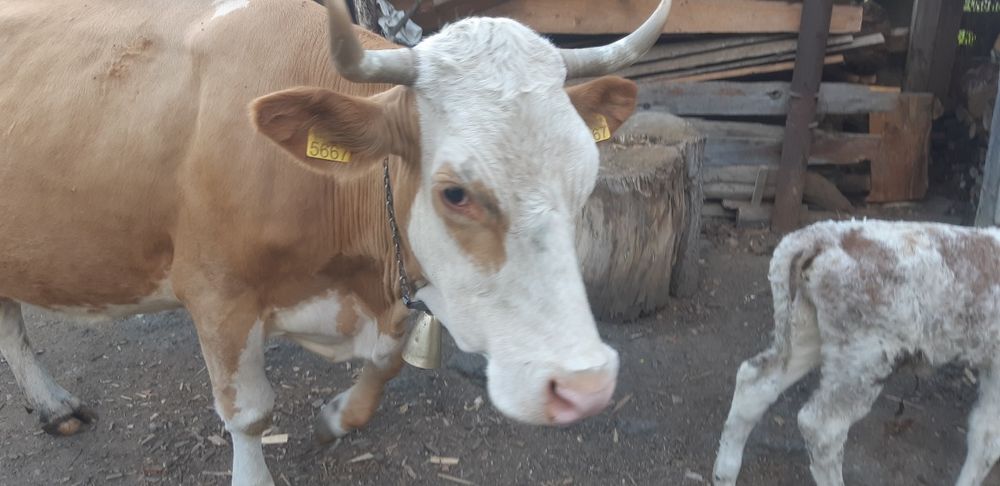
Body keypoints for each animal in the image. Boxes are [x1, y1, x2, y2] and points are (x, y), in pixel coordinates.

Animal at [0, 0, 673, 484]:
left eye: (587, 173)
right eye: (455, 193)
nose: (585, 387)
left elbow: (386, 366)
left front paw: (332, 420)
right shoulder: (217, 293)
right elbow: (248, 414)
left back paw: (52, 406)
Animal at [713, 219, 1000, 486]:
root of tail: (818, 238)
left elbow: (986, 434)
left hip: (805, 329)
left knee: (755, 383)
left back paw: (724, 473)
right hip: (866, 355)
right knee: (822, 428)